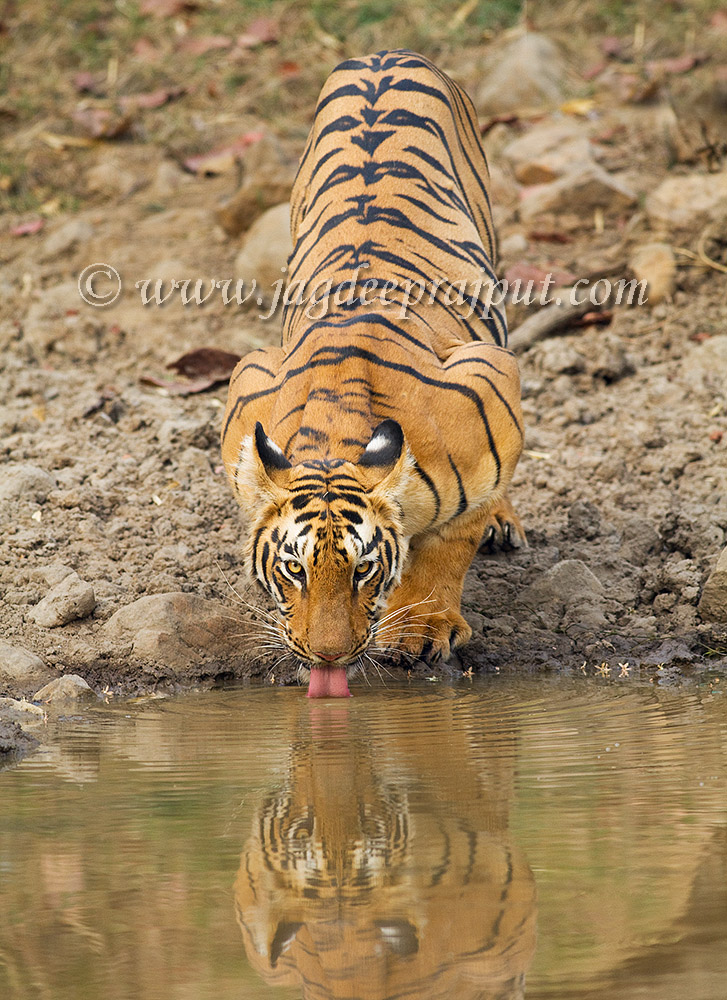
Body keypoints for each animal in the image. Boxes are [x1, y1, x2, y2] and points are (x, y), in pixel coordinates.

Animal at [221, 50, 525, 697]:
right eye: (293, 569)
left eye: (363, 569)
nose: (328, 656)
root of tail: (382, 55)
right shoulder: (246, 384)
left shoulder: (490, 382)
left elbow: (451, 540)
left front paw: (422, 629)